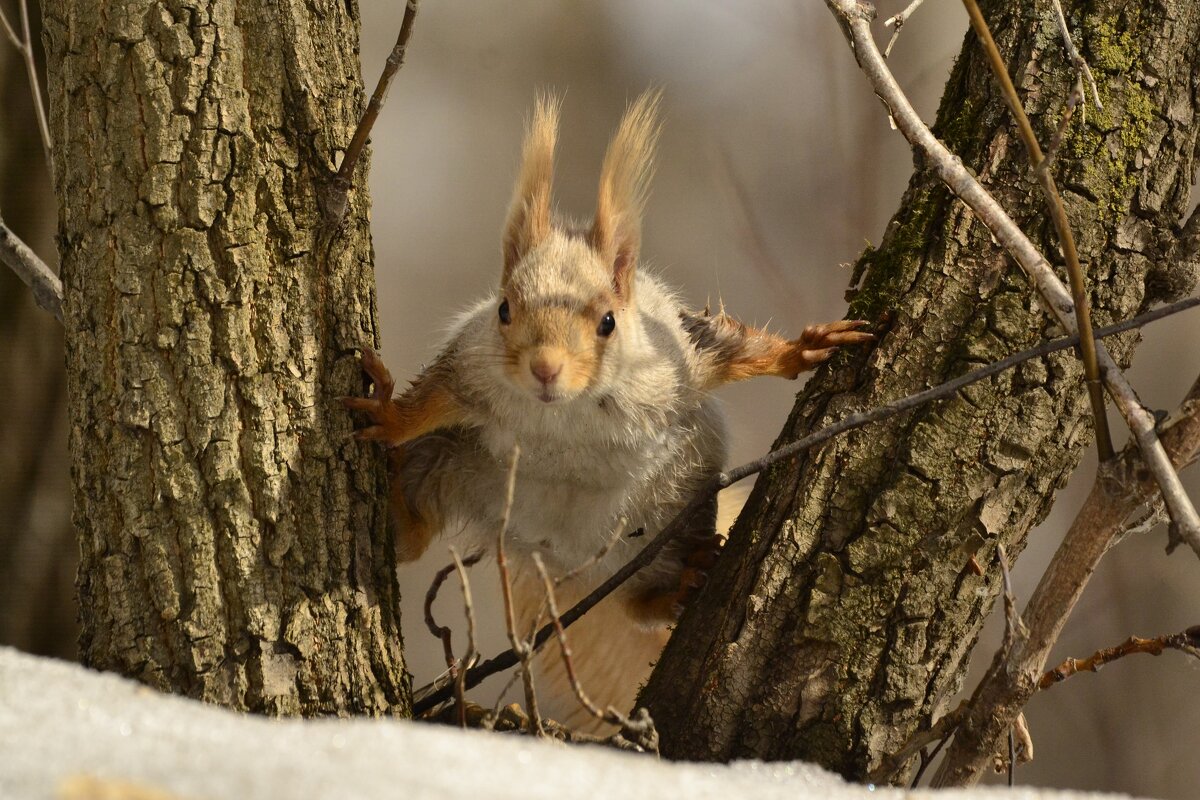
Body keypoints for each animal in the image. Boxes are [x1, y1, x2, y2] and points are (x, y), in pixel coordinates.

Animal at [348, 90, 873, 729]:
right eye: (503, 310)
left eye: (607, 321)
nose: (545, 369)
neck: (566, 412)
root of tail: (562, 558)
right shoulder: (471, 373)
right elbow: (432, 398)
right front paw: (388, 415)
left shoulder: (678, 359)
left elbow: (731, 352)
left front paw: (805, 347)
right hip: (449, 462)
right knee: (419, 531)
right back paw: (400, 520)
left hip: (674, 509)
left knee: (643, 603)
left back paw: (681, 584)